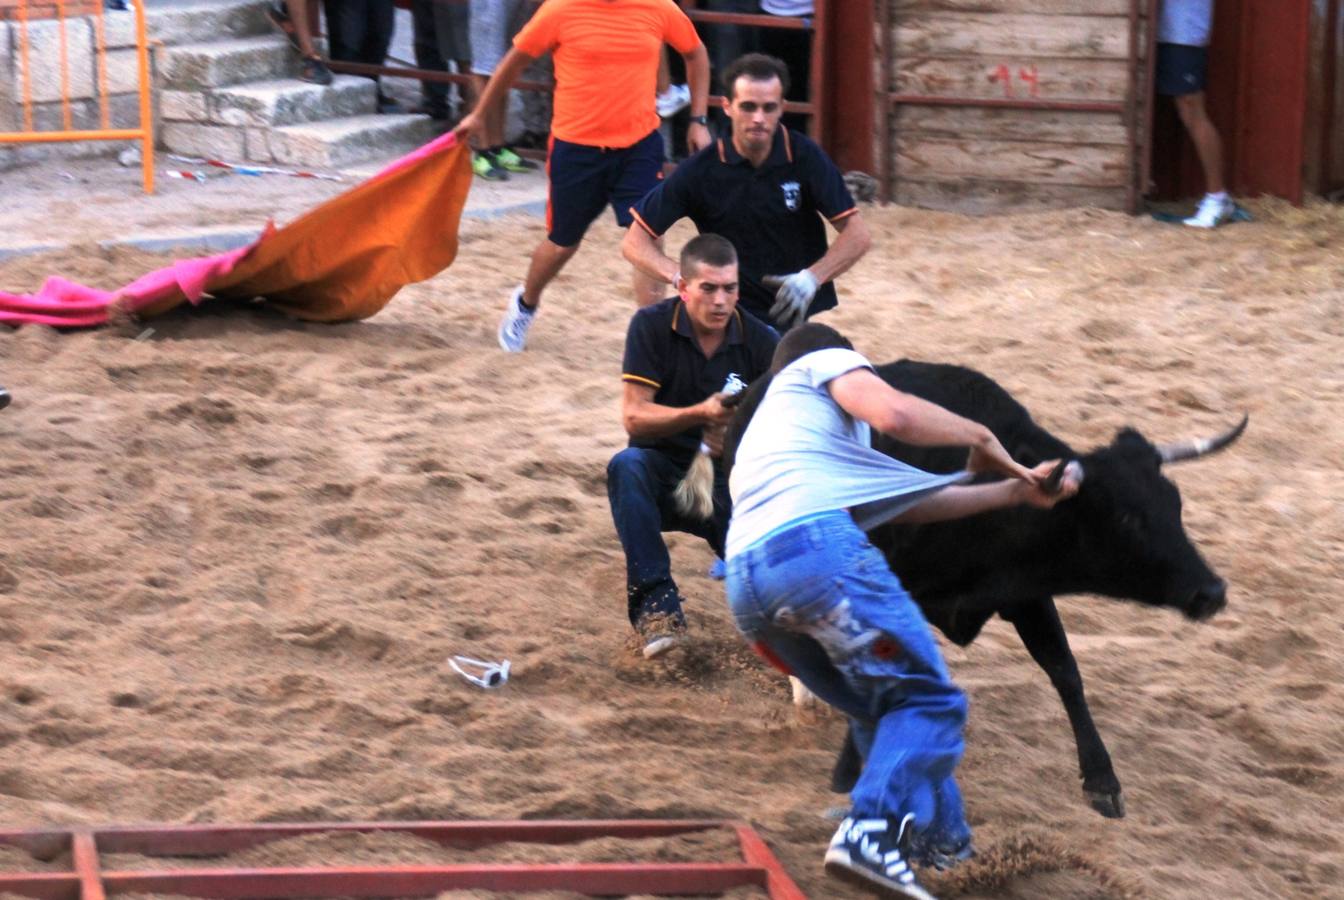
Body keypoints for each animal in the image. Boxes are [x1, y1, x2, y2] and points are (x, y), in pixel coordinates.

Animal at [731, 357, 1241, 816]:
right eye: (1126, 519)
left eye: (1175, 504)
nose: (1211, 592)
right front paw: (849, 772)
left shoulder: (1027, 593)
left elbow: (1065, 671)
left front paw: (1102, 780)